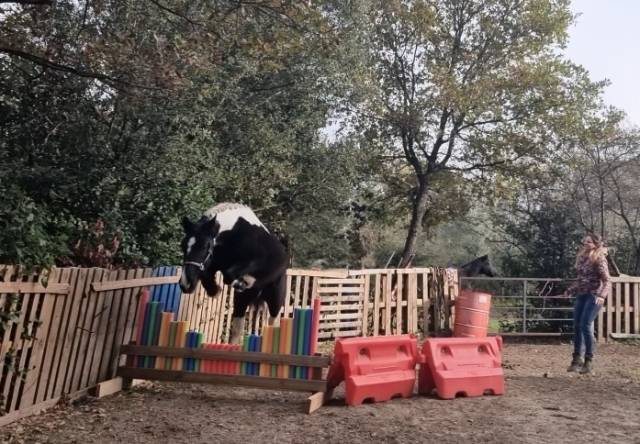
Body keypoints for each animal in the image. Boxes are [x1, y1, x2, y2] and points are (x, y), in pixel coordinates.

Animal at [178, 203, 288, 344]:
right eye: (182, 246)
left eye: (205, 246)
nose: (185, 284)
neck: (231, 234)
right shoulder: (214, 263)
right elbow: (208, 276)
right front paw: (215, 290)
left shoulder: (256, 261)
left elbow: (230, 274)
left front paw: (241, 283)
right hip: (241, 303)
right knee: (237, 329)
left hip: (275, 300)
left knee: (273, 321)